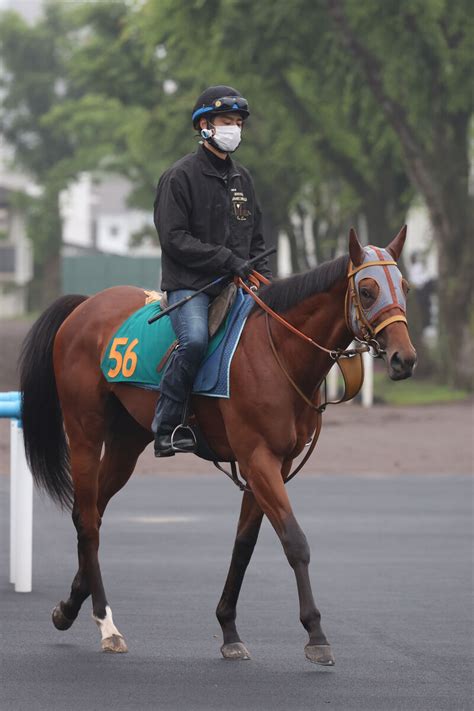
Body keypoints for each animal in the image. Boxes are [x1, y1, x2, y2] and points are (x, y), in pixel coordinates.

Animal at [18, 228, 414, 668]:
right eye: (366, 290)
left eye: (404, 287)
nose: (404, 358)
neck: (278, 349)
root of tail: (85, 305)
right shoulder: (258, 459)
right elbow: (295, 541)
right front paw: (315, 633)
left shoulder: (274, 464)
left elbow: (244, 546)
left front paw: (229, 630)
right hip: (85, 430)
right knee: (87, 519)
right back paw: (106, 623)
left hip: (126, 442)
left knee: (92, 513)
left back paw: (69, 607)